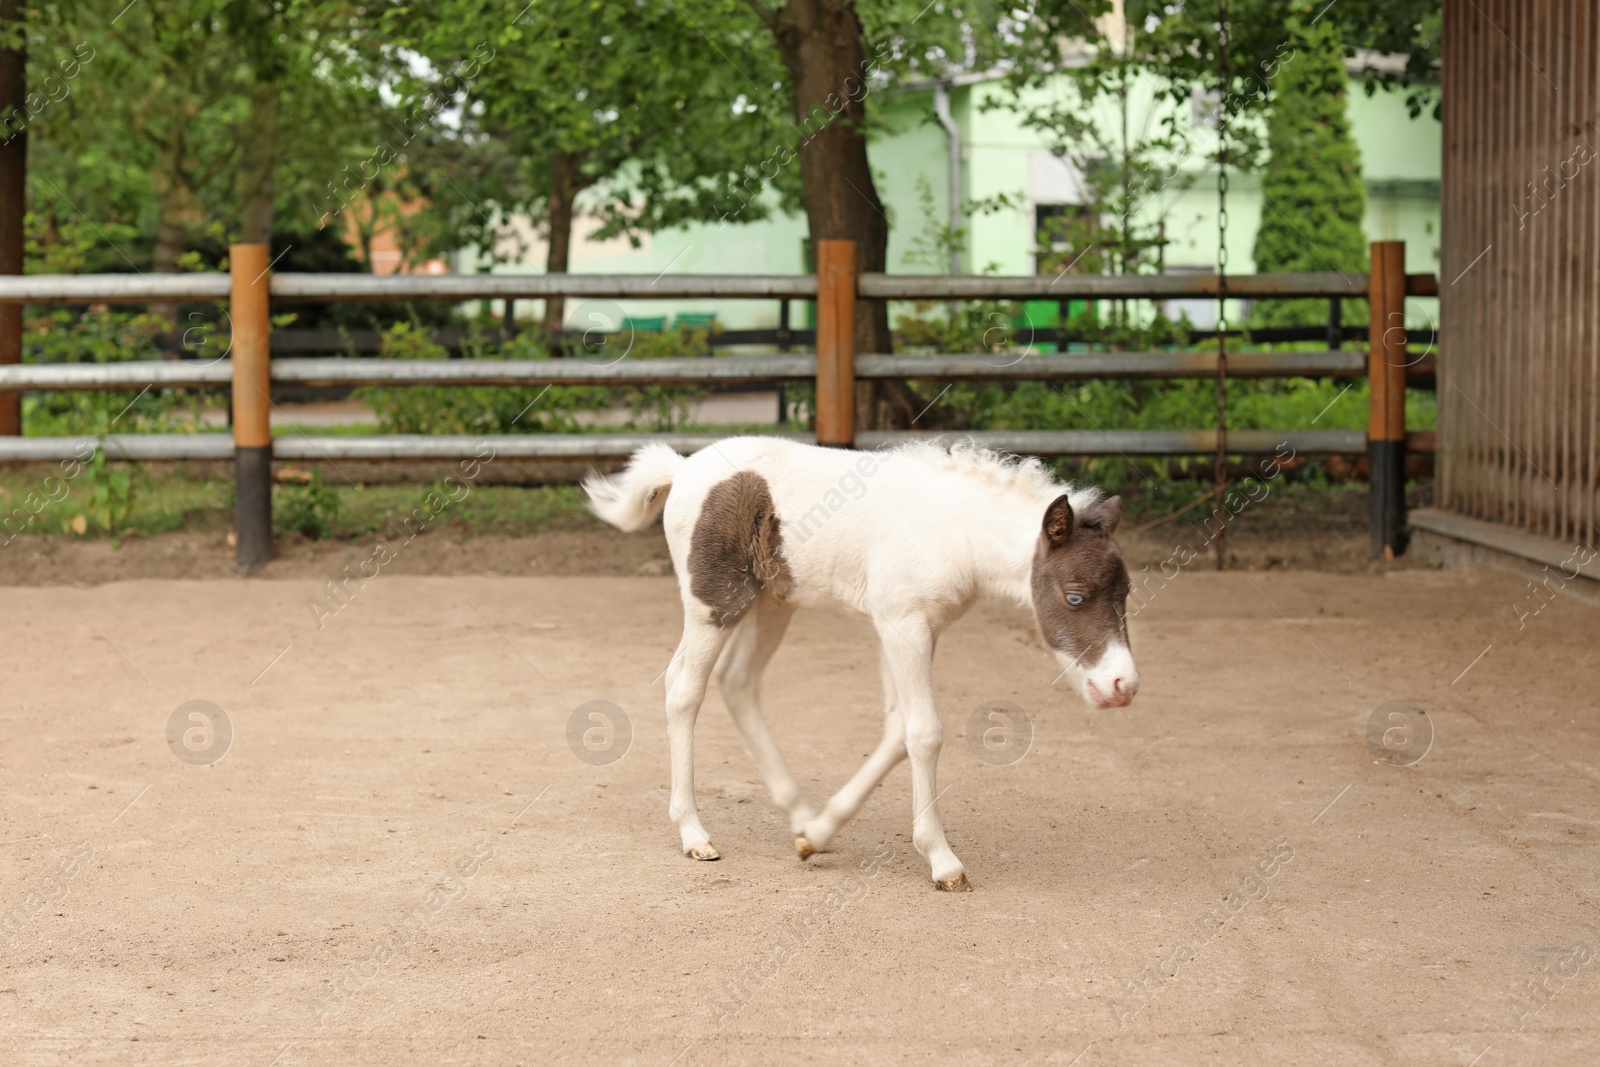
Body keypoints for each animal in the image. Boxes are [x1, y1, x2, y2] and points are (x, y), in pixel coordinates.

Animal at [588, 438, 1139, 889]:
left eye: (1127, 592)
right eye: (1074, 596)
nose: (1122, 685)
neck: (952, 527)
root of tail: (682, 469)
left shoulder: (908, 629)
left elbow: (898, 731)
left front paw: (816, 835)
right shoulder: (904, 625)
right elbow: (925, 732)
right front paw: (943, 861)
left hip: (772, 604)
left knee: (738, 683)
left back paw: (797, 812)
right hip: (715, 604)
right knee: (684, 688)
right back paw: (694, 834)